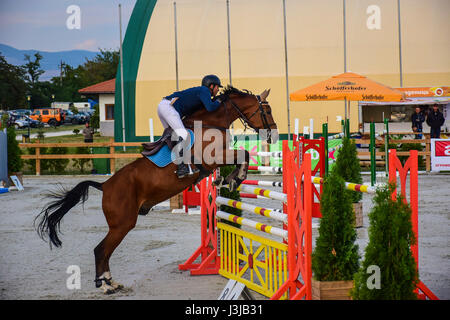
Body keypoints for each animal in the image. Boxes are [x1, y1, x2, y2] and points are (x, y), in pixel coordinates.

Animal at [35, 85, 276, 296]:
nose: (273, 133)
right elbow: (243, 154)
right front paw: (235, 178)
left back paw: (113, 283)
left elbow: (241, 156)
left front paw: (227, 180)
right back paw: (105, 286)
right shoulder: (214, 158)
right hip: (122, 223)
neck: (210, 122)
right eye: (267, 110)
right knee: (101, 250)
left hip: (121, 224)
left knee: (104, 251)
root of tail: (105, 186)